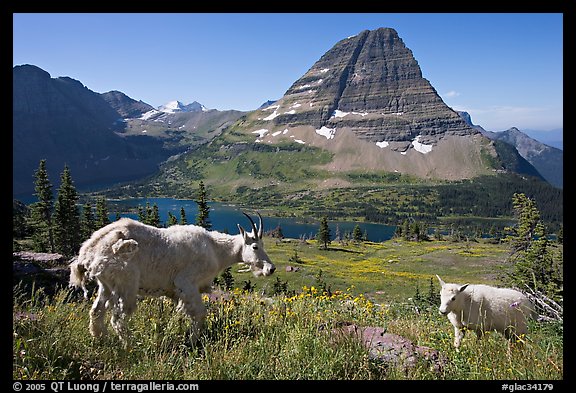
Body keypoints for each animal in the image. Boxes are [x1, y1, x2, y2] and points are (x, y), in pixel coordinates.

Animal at [68, 211, 276, 344]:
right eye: (255, 246)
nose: (271, 269)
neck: (216, 250)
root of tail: (88, 250)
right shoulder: (187, 283)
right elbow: (200, 313)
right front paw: (192, 341)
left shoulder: (177, 293)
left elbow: (181, 314)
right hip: (125, 284)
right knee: (118, 318)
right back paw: (131, 345)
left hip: (106, 285)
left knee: (96, 312)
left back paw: (101, 339)